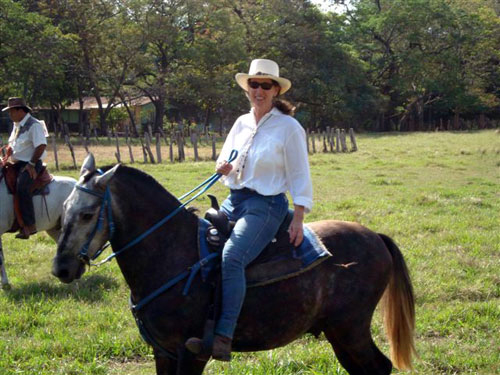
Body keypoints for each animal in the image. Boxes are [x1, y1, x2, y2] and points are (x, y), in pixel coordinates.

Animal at [52, 153, 416, 375]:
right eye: (65, 207)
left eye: (88, 214)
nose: (61, 268)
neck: (171, 252)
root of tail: (374, 236)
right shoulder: (163, 352)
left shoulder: (190, 354)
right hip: (338, 332)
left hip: (350, 329)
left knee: (379, 366)